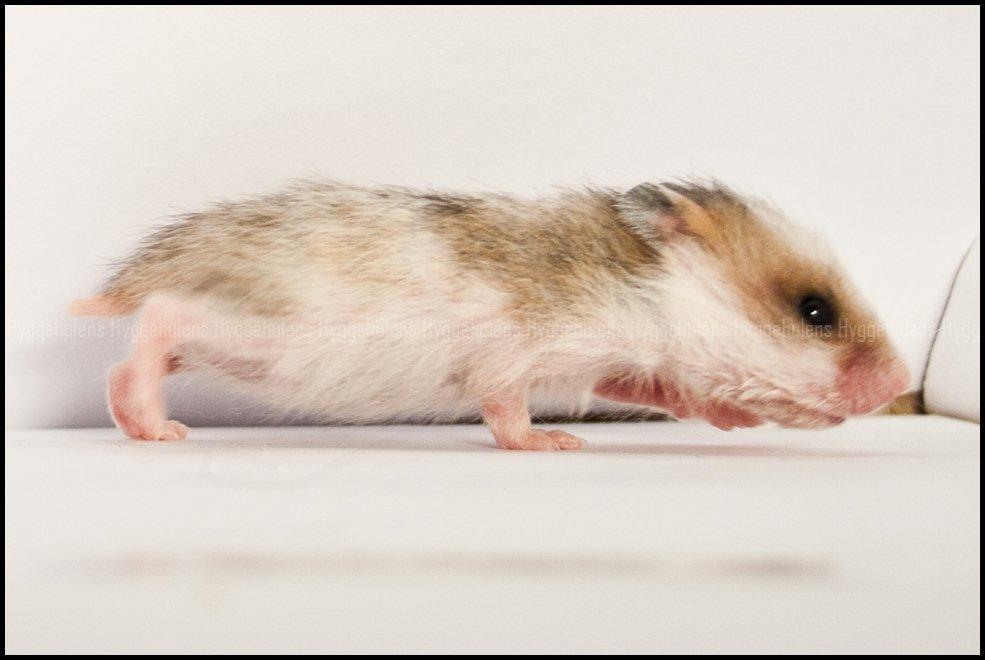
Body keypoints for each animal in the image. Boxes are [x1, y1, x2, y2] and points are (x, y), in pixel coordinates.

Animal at [70, 179, 909, 449]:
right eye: (813, 310)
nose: (900, 384)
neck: (646, 294)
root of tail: (152, 262)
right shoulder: (518, 353)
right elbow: (505, 409)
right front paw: (555, 445)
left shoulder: (607, 364)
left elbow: (659, 389)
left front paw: (730, 418)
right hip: (258, 328)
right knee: (154, 325)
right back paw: (163, 429)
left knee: (133, 361)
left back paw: (144, 424)